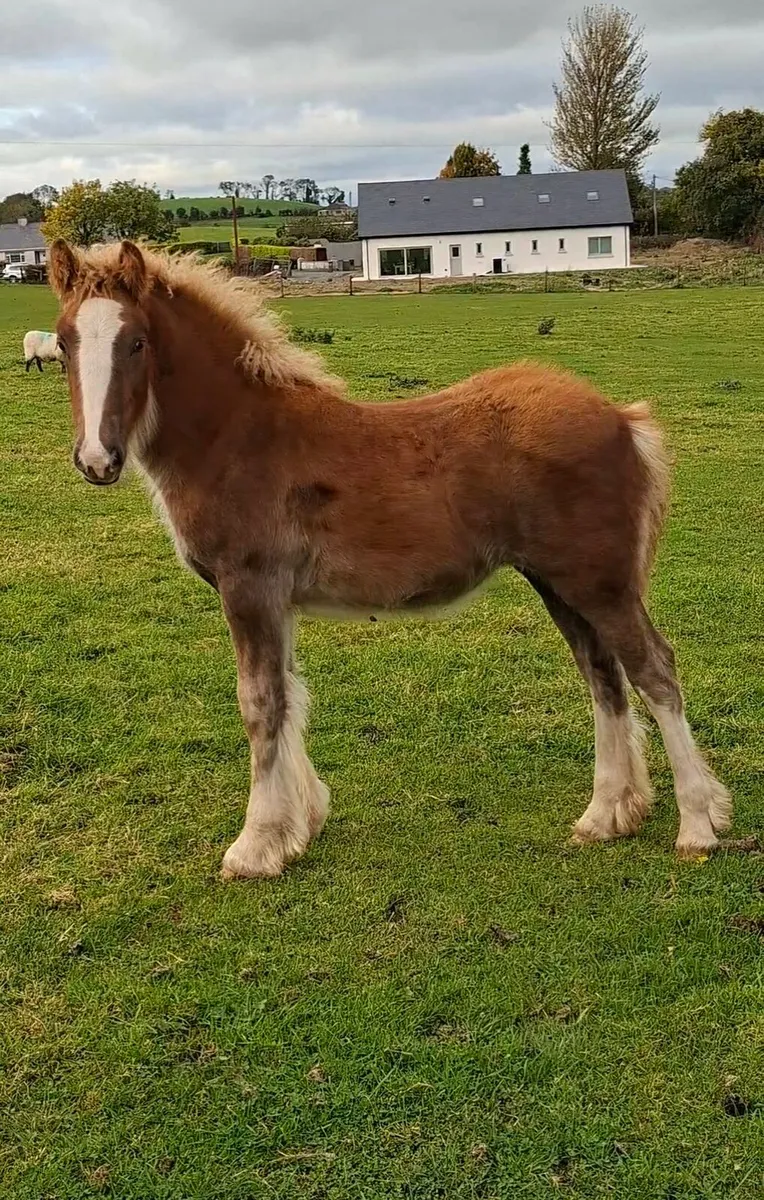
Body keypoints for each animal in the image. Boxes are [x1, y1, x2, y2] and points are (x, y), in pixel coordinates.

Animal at [48, 238, 732, 879]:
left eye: (136, 343)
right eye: (62, 342)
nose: (96, 460)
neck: (239, 437)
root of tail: (623, 417)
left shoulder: (248, 588)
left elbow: (260, 703)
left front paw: (256, 845)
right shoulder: (277, 601)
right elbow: (288, 695)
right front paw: (303, 822)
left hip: (600, 582)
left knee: (654, 672)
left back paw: (697, 826)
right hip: (560, 584)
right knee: (602, 674)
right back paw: (609, 814)